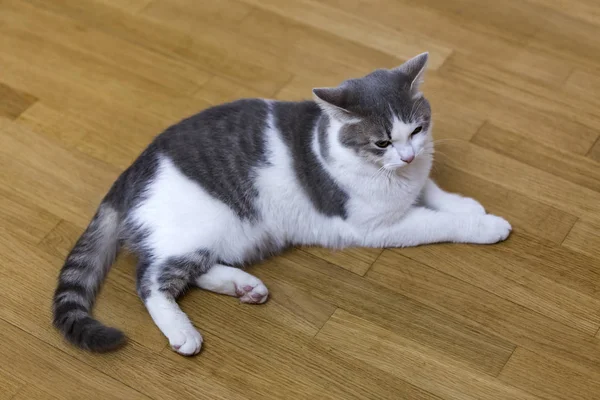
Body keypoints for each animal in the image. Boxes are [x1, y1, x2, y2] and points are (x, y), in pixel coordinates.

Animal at [52, 53, 510, 356]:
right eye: (382, 142)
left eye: (416, 130)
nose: (409, 156)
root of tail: (131, 171)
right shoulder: (376, 226)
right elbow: (435, 222)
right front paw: (486, 225)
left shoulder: (416, 176)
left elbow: (432, 189)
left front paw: (465, 203)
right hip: (198, 228)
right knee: (150, 279)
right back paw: (183, 331)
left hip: (226, 236)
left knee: (191, 271)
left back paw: (243, 286)